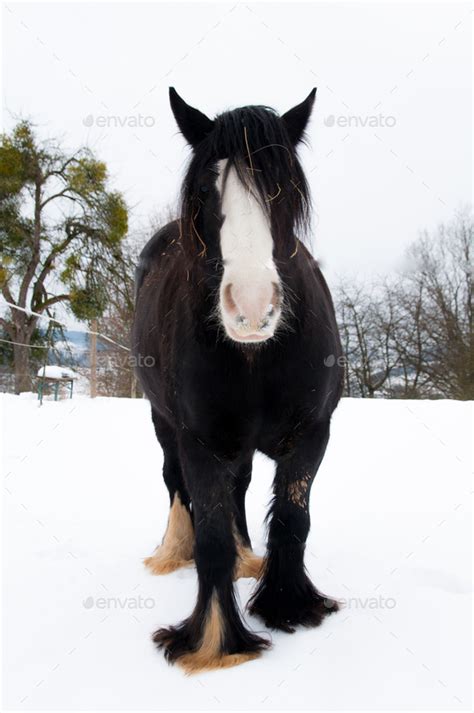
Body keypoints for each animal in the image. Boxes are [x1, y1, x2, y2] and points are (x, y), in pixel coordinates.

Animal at [131, 89, 342, 672]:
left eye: (283, 186)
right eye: (206, 187)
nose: (251, 307)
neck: (255, 359)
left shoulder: (314, 433)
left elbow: (292, 520)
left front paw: (289, 606)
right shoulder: (197, 440)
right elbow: (210, 538)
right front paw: (214, 641)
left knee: (241, 487)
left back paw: (250, 558)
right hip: (163, 423)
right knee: (175, 485)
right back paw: (173, 552)